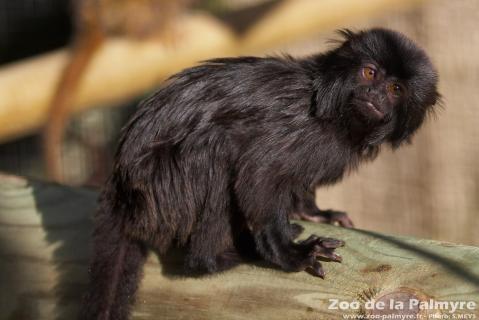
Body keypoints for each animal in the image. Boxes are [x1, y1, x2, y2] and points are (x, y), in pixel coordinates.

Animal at [81, 28, 438, 318]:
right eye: (369, 73)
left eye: (395, 89)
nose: (374, 95)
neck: (338, 118)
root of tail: (121, 188)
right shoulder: (298, 128)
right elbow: (259, 170)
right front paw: (291, 254)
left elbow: (297, 182)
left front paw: (316, 213)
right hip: (163, 189)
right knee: (216, 147)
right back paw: (221, 257)